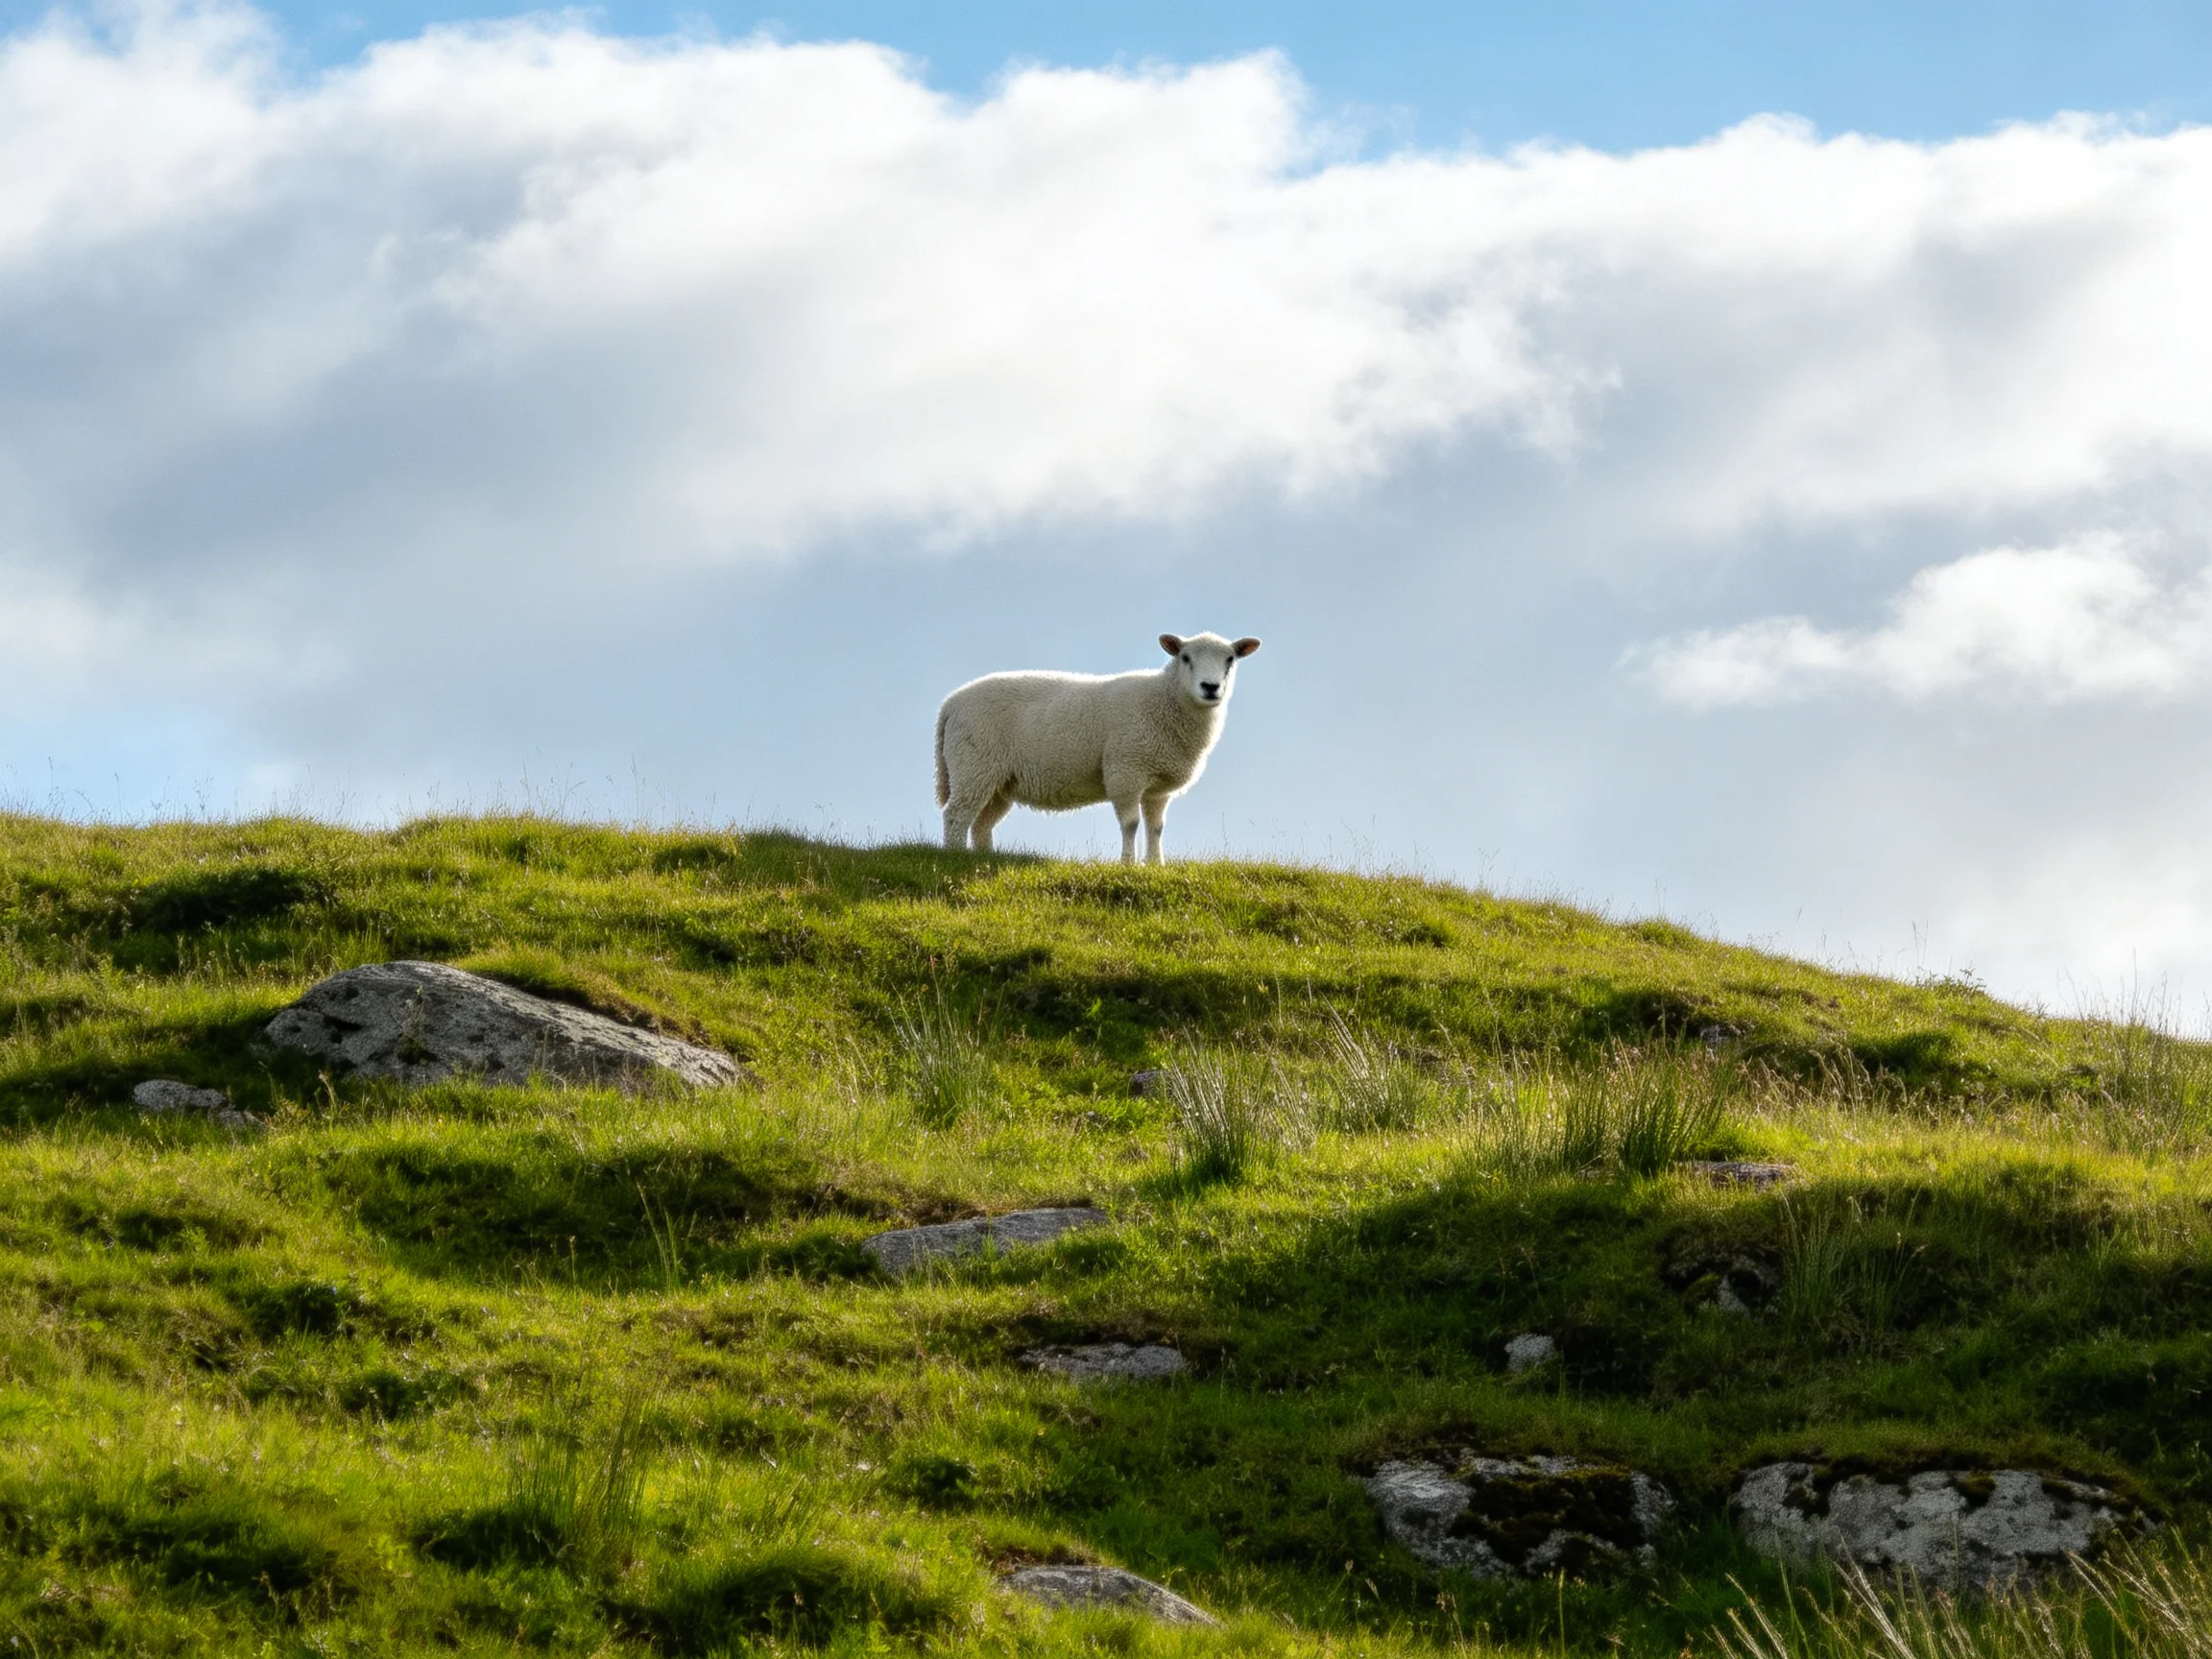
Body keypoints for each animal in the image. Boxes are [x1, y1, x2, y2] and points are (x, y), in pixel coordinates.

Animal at [935, 632, 1262, 865]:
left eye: (1230, 659)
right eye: (1185, 657)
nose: (1210, 687)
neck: (1164, 699)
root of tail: (950, 703)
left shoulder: (1158, 787)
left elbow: (1156, 828)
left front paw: (1156, 866)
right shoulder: (1126, 770)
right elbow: (1131, 824)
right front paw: (1128, 864)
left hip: (998, 780)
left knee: (980, 824)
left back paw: (983, 858)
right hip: (974, 764)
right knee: (957, 815)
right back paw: (954, 856)